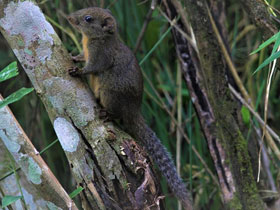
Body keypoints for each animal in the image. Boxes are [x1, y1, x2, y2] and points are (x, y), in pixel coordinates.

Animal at [67, 7, 192, 209]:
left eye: (88, 18)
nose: (69, 18)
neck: (93, 39)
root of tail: (134, 112)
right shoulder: (86, 52)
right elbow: (80, 57)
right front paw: (72, 56)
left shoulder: (100, 55)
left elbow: (92, 68)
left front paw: (78, 71)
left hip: (109, 94)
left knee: (117, 114)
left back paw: (107, 114)